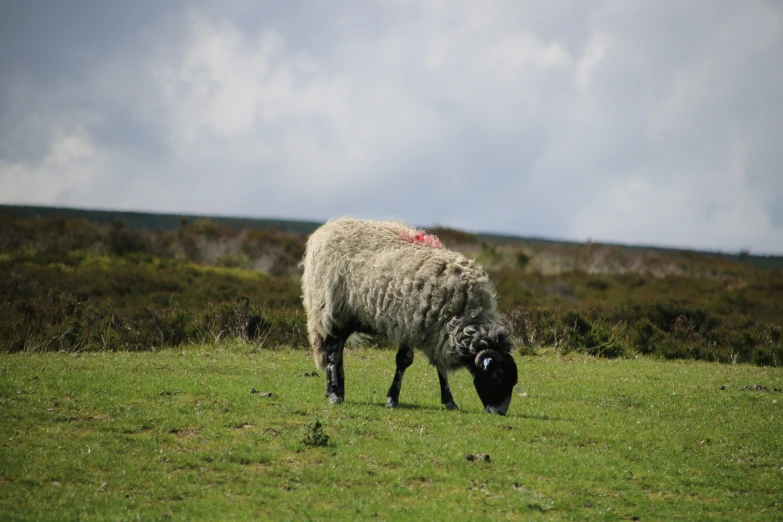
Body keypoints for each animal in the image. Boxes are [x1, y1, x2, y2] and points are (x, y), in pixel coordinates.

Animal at [302, 217, 520, 412]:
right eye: (498, 375)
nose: (499, 412)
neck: (465, 312)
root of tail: (325, 229)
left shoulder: (437, 331)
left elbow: (440, 367)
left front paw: (450, 402)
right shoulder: (409, 323)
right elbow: (404, 361)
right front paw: (392, 399)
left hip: (348, 317)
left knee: (337, 351)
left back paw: (338, 390)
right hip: (332, 311)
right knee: (332, 351)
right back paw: (334, 394)